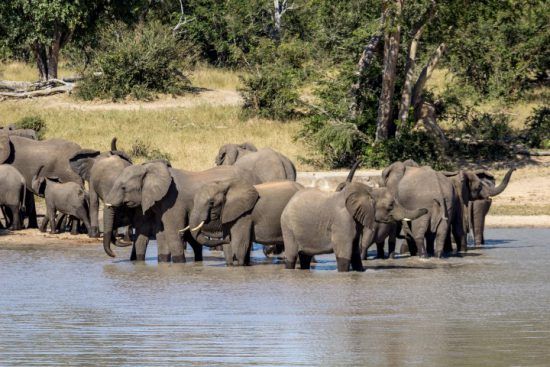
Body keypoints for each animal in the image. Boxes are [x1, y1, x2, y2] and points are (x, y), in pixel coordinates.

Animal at [104, 162, 260, 264]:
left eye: (123, 188)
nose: (114, 255)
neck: (148, 168)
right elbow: (161, 233)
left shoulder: (174, 201)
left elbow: (173, 233)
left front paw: (179, 264)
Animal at [282, 179, 430, 274]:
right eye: (390, 206)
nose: (427, 209)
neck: (369, 191)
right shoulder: (342, 221)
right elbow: (344, 252)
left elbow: (355, 250)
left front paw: (360, 271)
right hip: (288, 228)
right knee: (292, 256)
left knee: (305, 257)